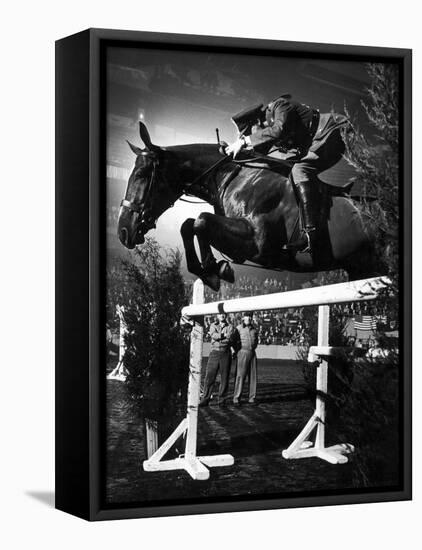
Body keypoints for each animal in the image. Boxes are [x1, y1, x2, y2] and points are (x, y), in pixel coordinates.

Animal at [116, 122, 380, 292]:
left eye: (141, 175)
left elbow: (201, 221)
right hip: (361, 268)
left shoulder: (257, 244)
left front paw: (214, 269)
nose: (122, 231)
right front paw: (209, 271)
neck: (231, 175)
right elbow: (188, 225)